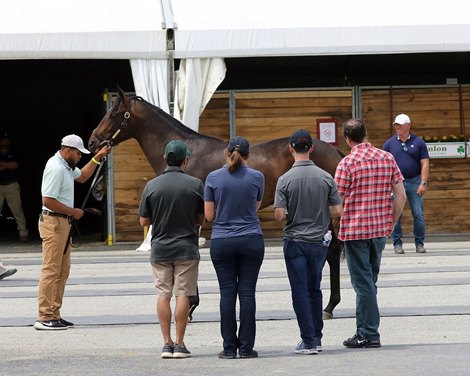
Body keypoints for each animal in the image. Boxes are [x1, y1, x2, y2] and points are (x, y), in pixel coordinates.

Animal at [89, 88, 346, 318]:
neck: (186, 153)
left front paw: (190, 305)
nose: (92, 142)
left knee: (332, 251)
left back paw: (329, 306)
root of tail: (334, 151)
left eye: (114, 114)